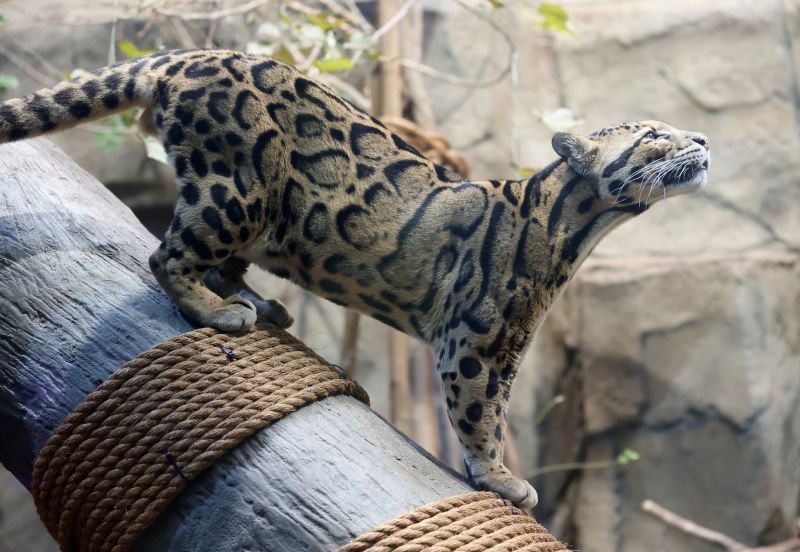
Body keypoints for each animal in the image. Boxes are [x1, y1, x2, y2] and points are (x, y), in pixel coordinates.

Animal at [0, 49, 710, 508]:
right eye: (654, 134)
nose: (703, 139)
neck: (574, 230)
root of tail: (185, 58)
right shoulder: (474, 345)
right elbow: (482, 415)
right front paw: (501, 477)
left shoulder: (505, 353)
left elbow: (495, 412)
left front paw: (499, 472)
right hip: (238, 187)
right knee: (166, 255)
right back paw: (216, 308)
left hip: (257, 210)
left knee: (218, 258)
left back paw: (256, 302)